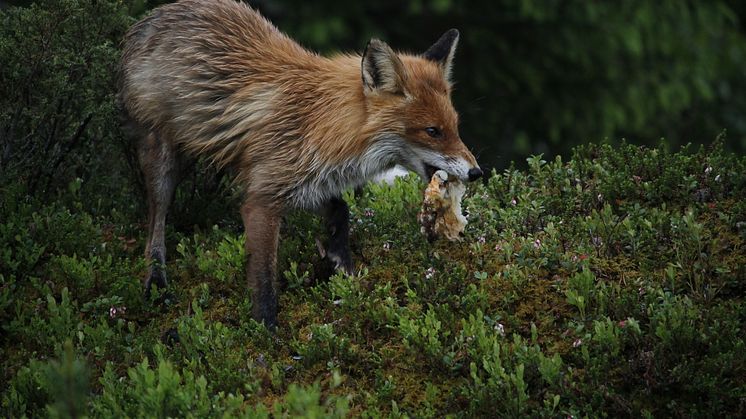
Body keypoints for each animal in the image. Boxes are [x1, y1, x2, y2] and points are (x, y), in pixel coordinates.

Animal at [119, 0, 480, 328]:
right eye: (432, 131)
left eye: (456, 127)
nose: (476, 171)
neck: (321, 123)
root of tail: (152, 17)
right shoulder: (262, 201)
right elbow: (264, 280)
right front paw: (266, 336)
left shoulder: (307, 183)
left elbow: (340, 210)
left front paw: (341, 265)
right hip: (160, 158)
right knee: (155, 225)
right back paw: (156, 281)